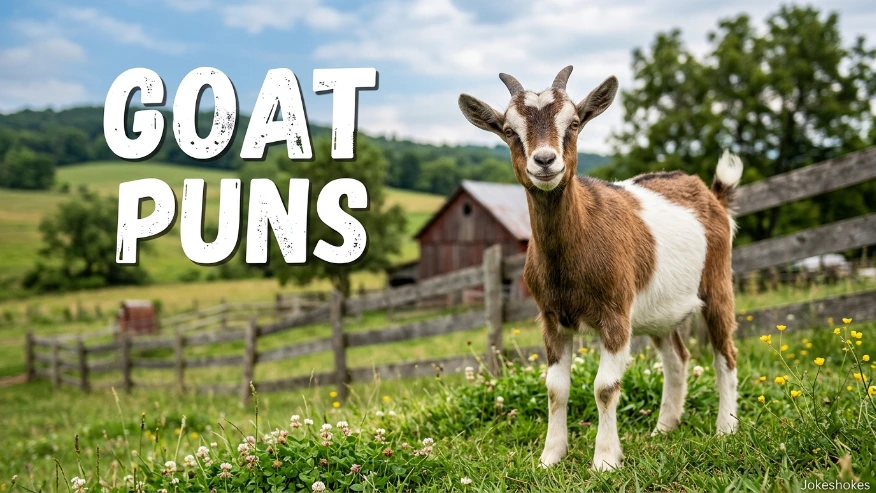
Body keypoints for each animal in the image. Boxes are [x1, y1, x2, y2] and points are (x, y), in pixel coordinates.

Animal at [458, 66, 742, 471]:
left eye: (574, 123)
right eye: (510, 131)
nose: (545, 161)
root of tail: (712, 195)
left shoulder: (615, 314)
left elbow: (605, 388)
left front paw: (605, 460)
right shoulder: (551, 318)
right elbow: (555, 388)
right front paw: (550, 456)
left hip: (717, 282)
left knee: (725, 354)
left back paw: (726, 428)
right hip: (660, 310)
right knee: (677, 359)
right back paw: (664, 428)